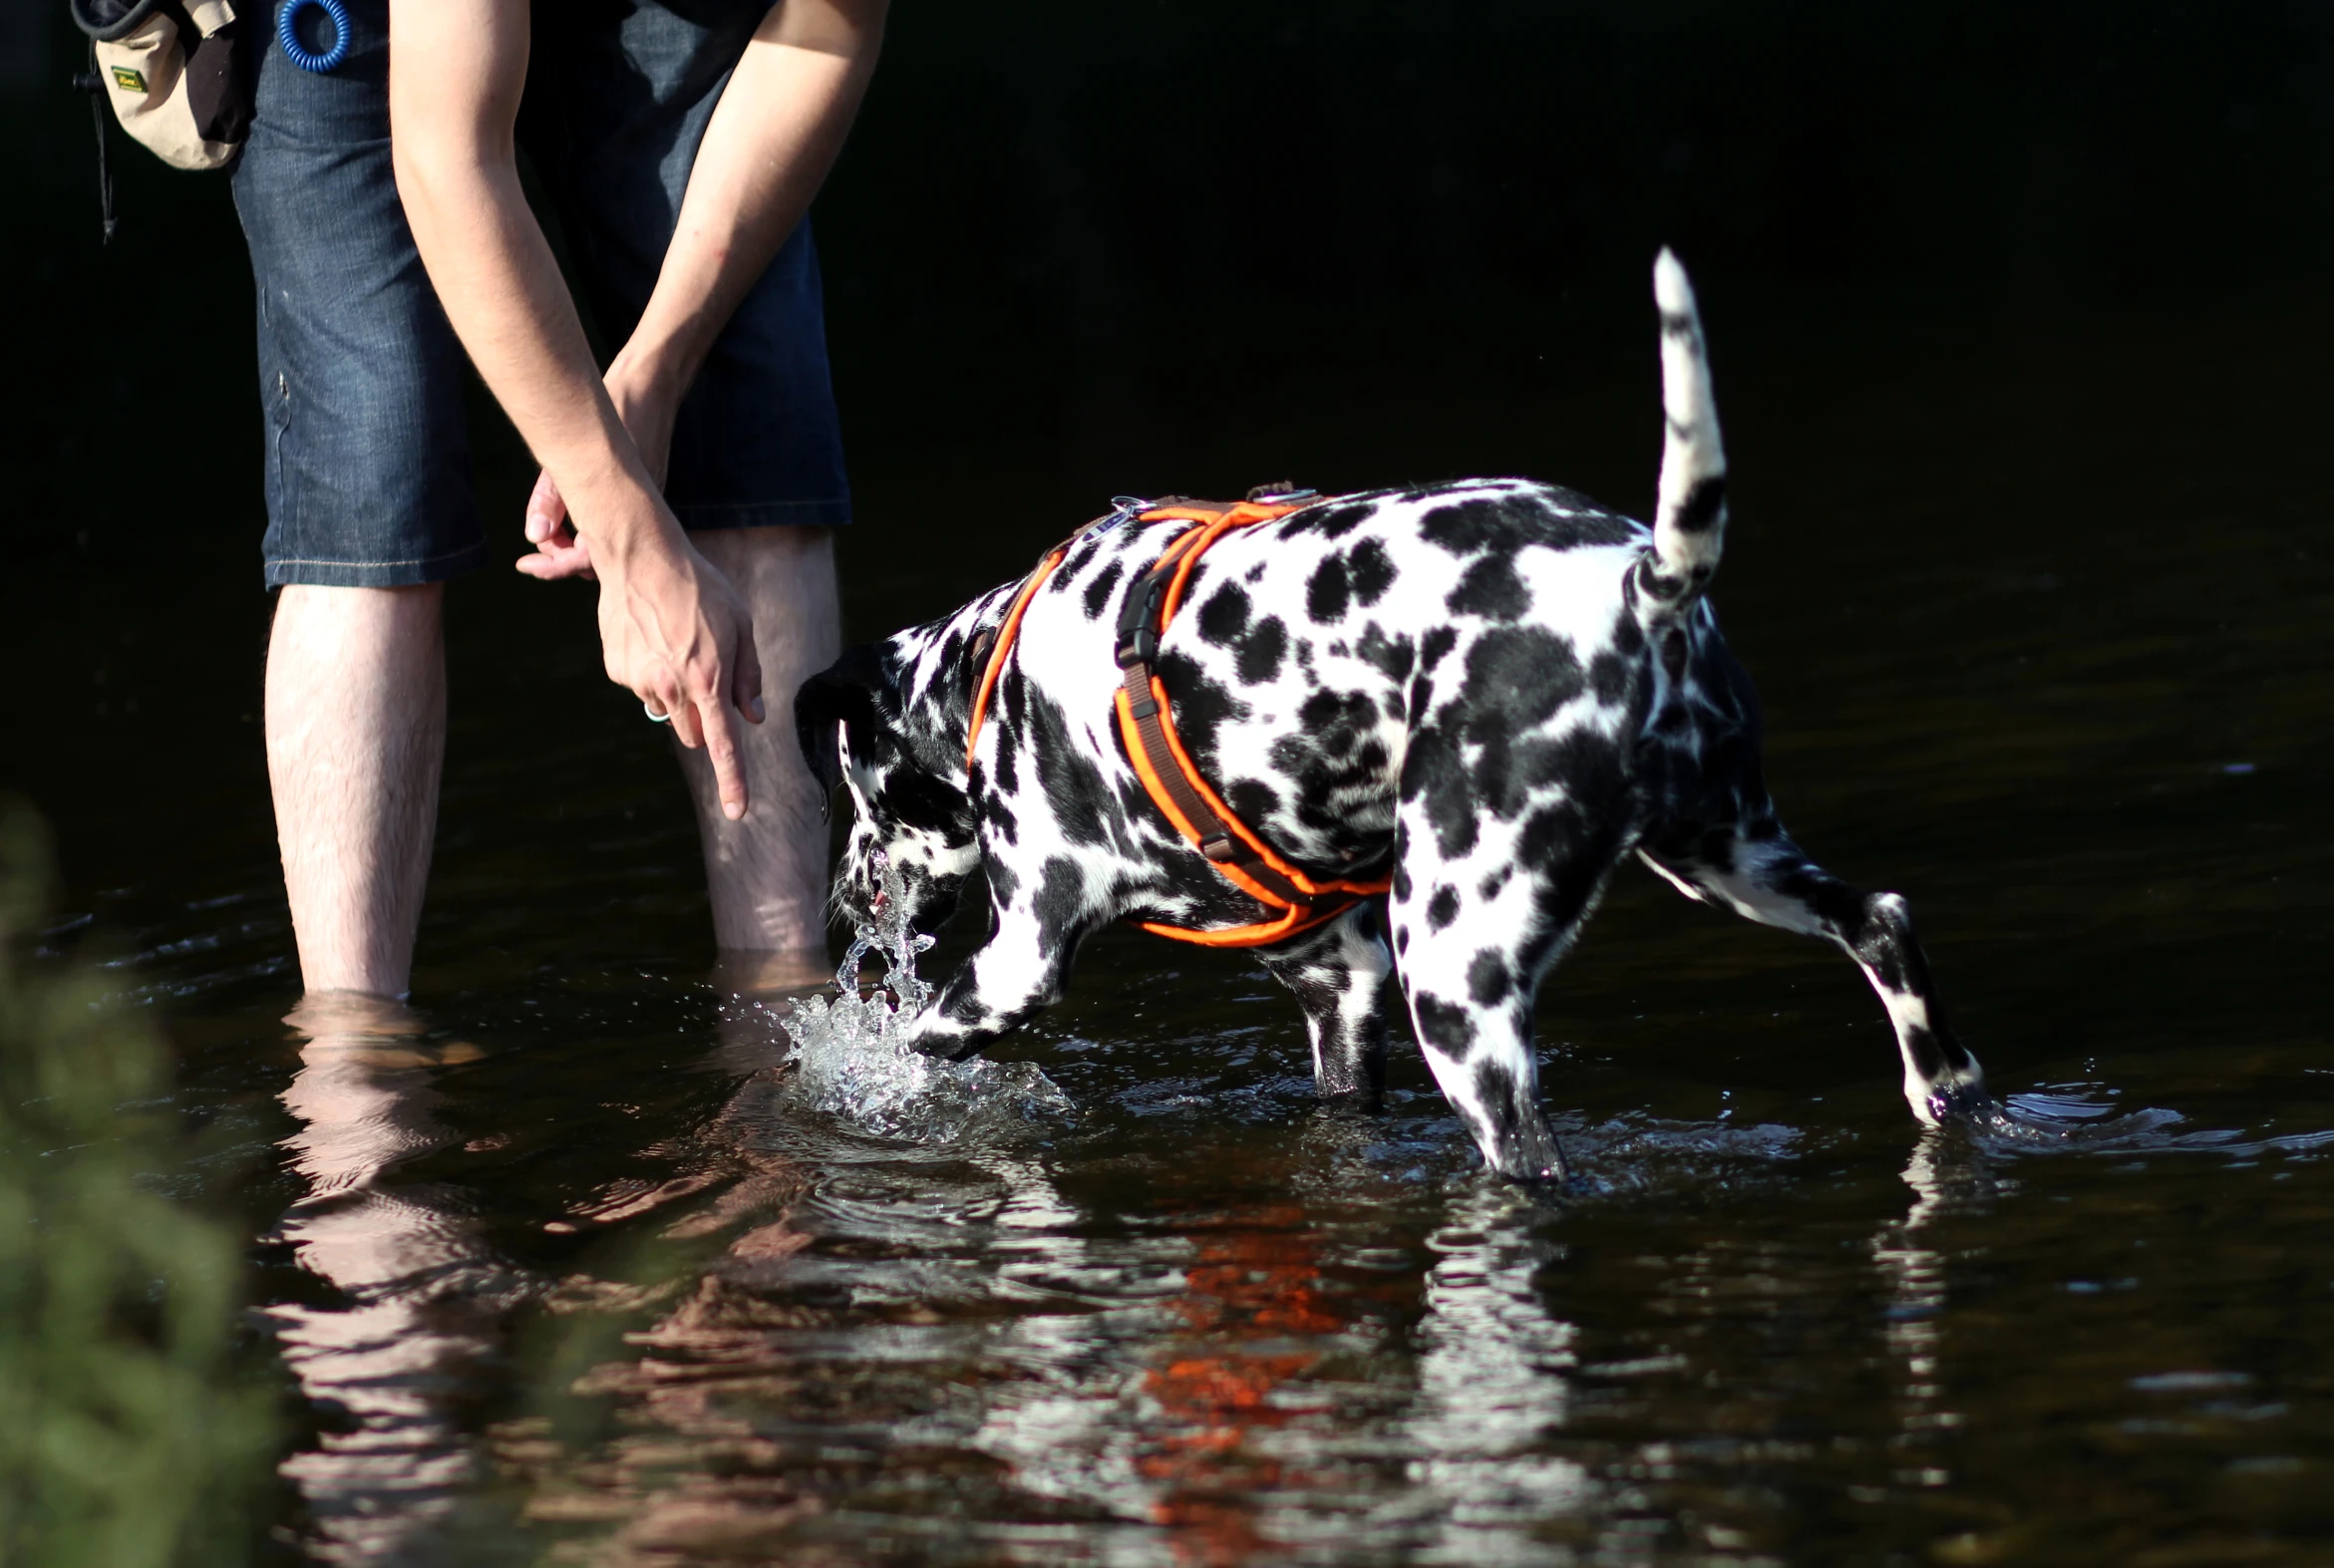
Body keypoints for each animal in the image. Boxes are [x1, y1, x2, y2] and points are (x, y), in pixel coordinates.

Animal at [798, 248, 1988, 1175]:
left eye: (847, 800)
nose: (835, 918)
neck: (989, 664)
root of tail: (1645, 579)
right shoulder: (1339, 985)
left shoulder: (1017, 964)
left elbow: (909, 1051)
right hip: (1724, 860)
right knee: (1883, 923)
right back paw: (1945, 1087)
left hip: (1462, 988)